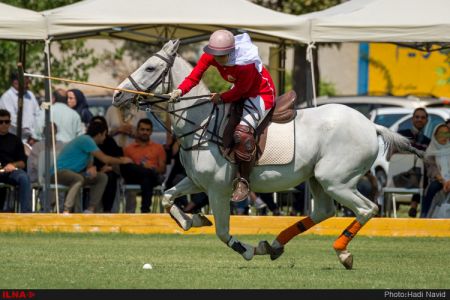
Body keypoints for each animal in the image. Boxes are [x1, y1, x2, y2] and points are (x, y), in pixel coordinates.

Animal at [111, 40, 418, 270]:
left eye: (151, 67)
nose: (116, 96)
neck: (200, 121)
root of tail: (372, 125)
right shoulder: (197, 182)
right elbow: (166, 197)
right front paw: (192, 220)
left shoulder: (218, 188)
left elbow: (222, 232)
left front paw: (245, 249)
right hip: (318, 179)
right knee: (324, 210)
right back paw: (274, 245)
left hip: (336, 180)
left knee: (367, 208)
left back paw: (342, 252)